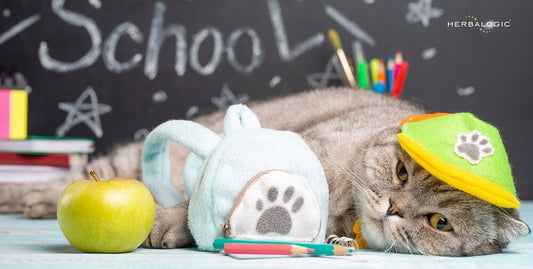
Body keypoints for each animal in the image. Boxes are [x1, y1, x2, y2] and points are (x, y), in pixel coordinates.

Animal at [0, 88, 528, 255]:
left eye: (440, 222)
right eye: (401, 172)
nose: (395, 208)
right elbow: (193, 205)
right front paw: (168, 220)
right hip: (127, 163)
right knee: (85, 172)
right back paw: (29, 195)